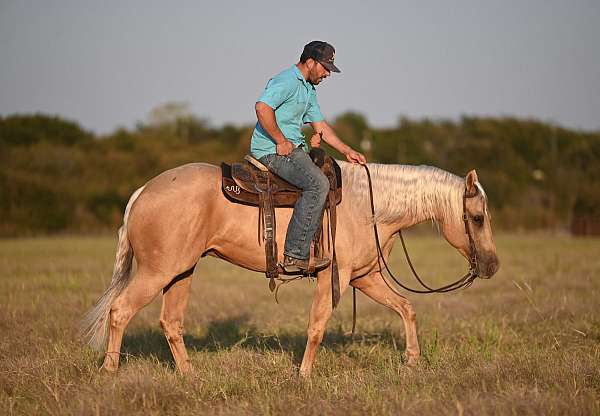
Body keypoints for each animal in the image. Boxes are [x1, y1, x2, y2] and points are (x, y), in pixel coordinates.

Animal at [82, 162, 500, 376]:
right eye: (478, 218)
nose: (493, 265)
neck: (369, 206)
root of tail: (143, 192)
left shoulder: (366, 278)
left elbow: (406, 308)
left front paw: (412, 360)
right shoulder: (334, 278)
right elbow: (316, 327)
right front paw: (304, 375)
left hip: (180, 273)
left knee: (170, 322)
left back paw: (189, 375)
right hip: (158, 272)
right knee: (120, 311)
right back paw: (110, 372)